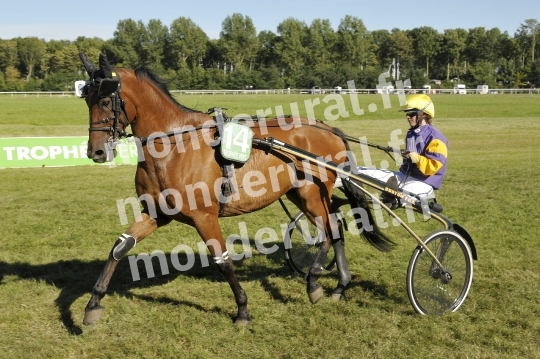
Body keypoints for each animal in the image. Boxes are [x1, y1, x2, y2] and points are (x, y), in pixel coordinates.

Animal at [78, 53, 392, 326]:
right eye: (87, 99)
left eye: (105, 99)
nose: (95, 152)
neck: (174, 146)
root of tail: (329, 129)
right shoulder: (156, 212)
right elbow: (119, 248)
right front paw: (93, 304)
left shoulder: (204, 217)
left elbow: (223, 262)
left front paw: (242, 310)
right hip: (302, 195)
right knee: (335, 229)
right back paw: (340, 286)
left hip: (311, 194)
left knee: (328, 231)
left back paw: (314, 281)